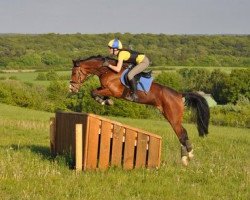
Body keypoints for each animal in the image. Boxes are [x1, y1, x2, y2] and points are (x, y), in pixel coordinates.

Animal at [69, 54, 210, 166]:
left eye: (74, 73)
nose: (72, 89)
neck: (107, 71)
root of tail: (179, 95)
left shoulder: (114, 91)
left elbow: (93, 92)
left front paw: (105, 101)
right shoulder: (105, 88)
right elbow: (94, 92)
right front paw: (105, 100)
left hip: (173, 117)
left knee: (182, 133)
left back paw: (188, 156)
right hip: (169, 115)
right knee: (181, 133)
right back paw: (185, 157)